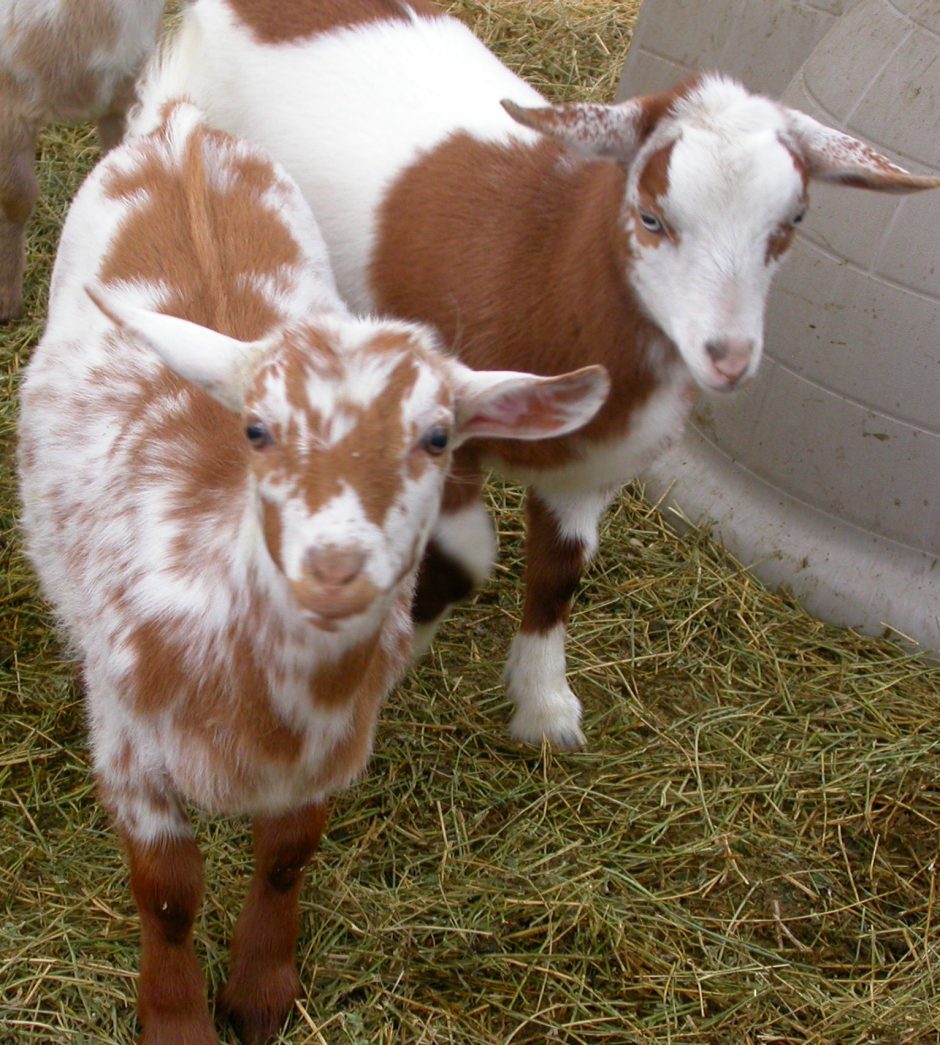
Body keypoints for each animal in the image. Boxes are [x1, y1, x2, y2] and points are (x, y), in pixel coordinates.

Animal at [17, 88, 607, 1043]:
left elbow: (289, 856)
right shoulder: (125, 740)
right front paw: (178, 1018)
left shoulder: (330, 754)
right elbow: (169, 892)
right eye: (257, 430)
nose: (334, 568)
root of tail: (182, 129)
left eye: (438, 437)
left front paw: (262, 991)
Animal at [160, 0, 940, 749]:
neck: (546, 261)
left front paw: (543, 708)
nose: (727, 355)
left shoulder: (592, 470)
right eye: (651, 217)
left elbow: (561, 571)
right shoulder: (448, 437)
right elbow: (458, 559)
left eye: (794, 219)